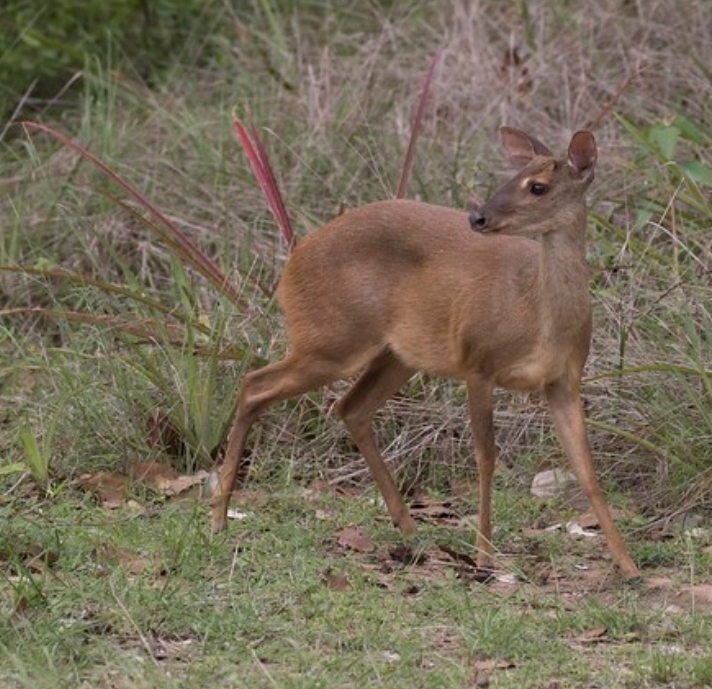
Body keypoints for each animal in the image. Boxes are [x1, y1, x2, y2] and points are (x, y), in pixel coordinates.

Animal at [210, 126, 641, 582]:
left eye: (538, 186)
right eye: (513, 176)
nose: (478, 217)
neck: (537, 314)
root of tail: (292, 261)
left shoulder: (564, 379)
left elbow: (586, 469)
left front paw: (628, 564)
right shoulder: (478, 362)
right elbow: (486, 457)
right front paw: (484, 555)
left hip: (395, 356)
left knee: (350, 407)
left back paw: (408, 525)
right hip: (331, 339)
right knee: (254, 384)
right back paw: (219, 517)